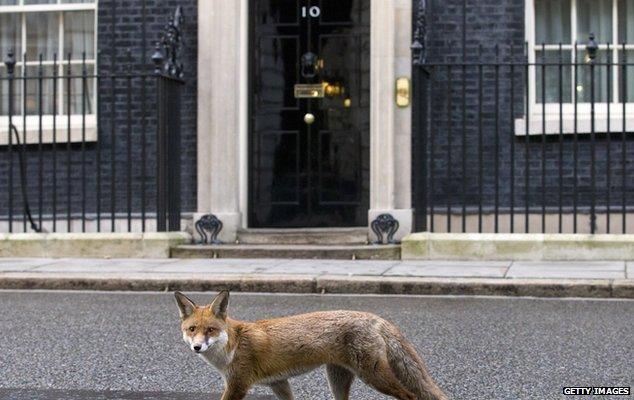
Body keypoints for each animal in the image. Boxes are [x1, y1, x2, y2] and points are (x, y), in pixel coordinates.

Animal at [175, 290, 446, 400]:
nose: (197, 347)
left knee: (410, 395)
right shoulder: (278, 383)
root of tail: (374, 317)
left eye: (210, 330)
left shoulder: (238, 384)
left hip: (374, 376)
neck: (232, 346)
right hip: (337, 379)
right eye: (192, 329)